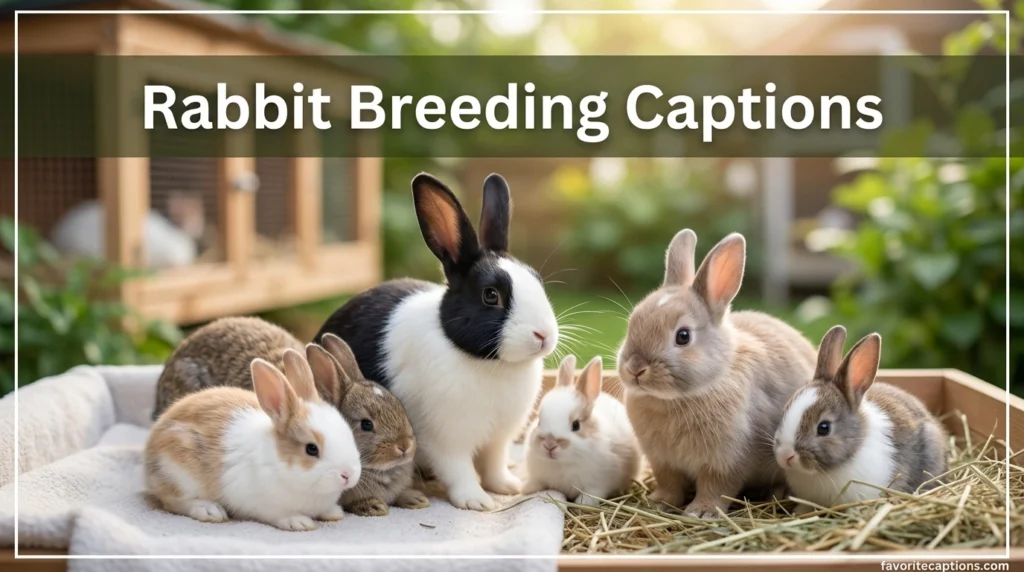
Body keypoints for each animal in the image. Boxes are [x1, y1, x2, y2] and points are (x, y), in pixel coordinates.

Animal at [145, 349, 362, 531]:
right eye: (311, 449)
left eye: (348, 434)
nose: (348, 475)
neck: (279, 461)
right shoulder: (262, 504)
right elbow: (278, 515)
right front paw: (299, 522)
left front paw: (334, 513)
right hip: (177, 471)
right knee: (172, 501)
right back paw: (209, 510)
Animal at [315, 173, 559, 512]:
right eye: (490, 295)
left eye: (537, 281)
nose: (544, 335)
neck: (489, 364)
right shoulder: (446, 440)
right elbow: (459, 470)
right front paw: (477, 502)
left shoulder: (499, 438)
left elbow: (494, 463)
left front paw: (509, 487)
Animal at [523, 354, 641, 506]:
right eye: (539, 421)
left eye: (576, 425)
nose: (549, 445)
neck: (563, 463)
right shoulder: (538, 475)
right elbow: (537, 483)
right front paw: (526, 489)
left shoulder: (599, 484)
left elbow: (591, 494)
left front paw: (583, 502)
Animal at [616, 229, 817, 519]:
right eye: (633, 323)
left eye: (683, 336)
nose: (635, 368)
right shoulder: (662, 461)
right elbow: (669, 483)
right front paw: (658, 502)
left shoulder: (726, 460)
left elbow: (717, 486)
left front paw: (701, 512)